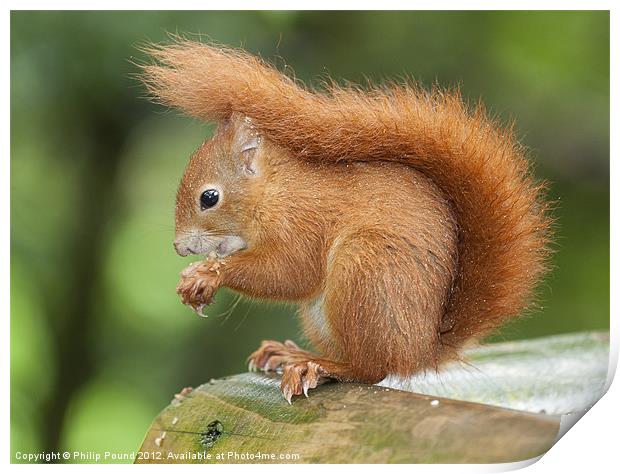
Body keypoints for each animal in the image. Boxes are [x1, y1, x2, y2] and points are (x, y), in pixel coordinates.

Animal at [140, 41, 552, 404]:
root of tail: (421, 349)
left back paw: (317, 366)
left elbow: (290, 273)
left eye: (209, 197)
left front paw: (208, 274)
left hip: (365, 268)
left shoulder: (302, 222)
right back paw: (291, 354)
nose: (179, 246)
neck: (275, 191)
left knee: (369, 369)